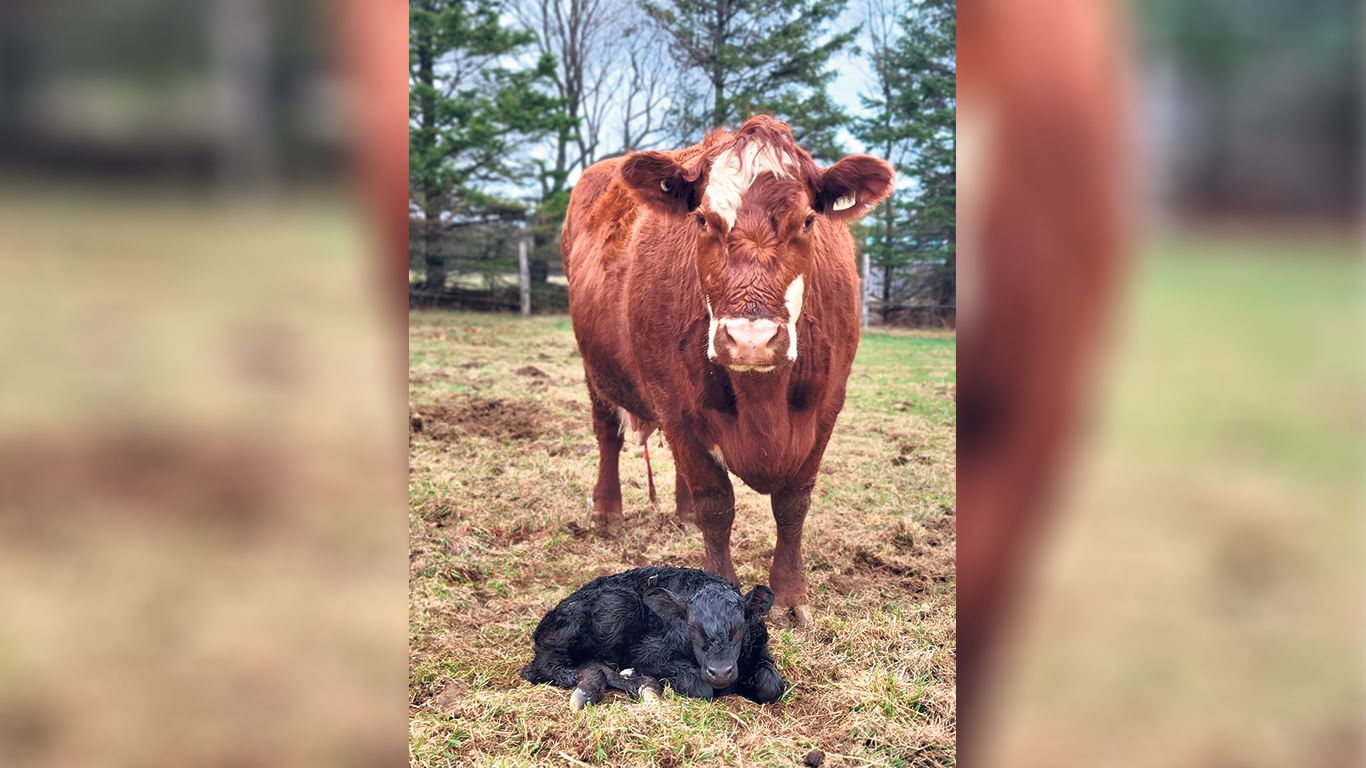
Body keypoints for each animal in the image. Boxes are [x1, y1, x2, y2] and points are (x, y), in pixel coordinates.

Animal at [519, 563, 786, 705]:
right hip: (618, 604)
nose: (720, 672)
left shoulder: (760, 648)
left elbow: (772, 685)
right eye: (692, 628)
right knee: (545, 666)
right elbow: (700, 687)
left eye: (739, 627)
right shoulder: (649, 653)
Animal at [557, 116, 890, 625]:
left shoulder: (826, 407)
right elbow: (716, 505)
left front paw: (791, 596)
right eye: (702, 219)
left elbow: (793, 504)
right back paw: (607, 512)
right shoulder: (677, 406)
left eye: (807, 220)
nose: (751, 339)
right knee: (607, 436)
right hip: (597, 371)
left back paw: (682, 513)